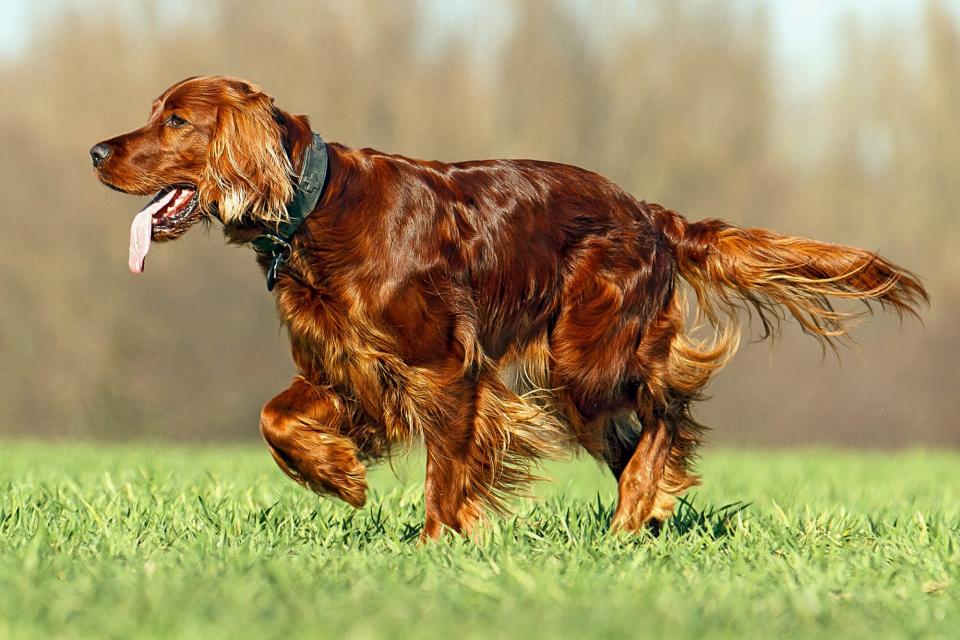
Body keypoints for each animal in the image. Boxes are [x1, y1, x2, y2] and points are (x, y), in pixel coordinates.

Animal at [94, 75, 928, 536]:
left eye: (177, 120)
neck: (317, 206)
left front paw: (435, 545)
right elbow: (274, 419)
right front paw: (340, 477)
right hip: (578, 379)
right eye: (154, 112)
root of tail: (650, 213)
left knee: (667, 408)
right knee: (640, 436)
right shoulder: (347, 367)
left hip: (585, 358)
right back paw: (647, 511)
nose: (97, 152)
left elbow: (446, 472)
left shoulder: (446, 368)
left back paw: (634, 513)